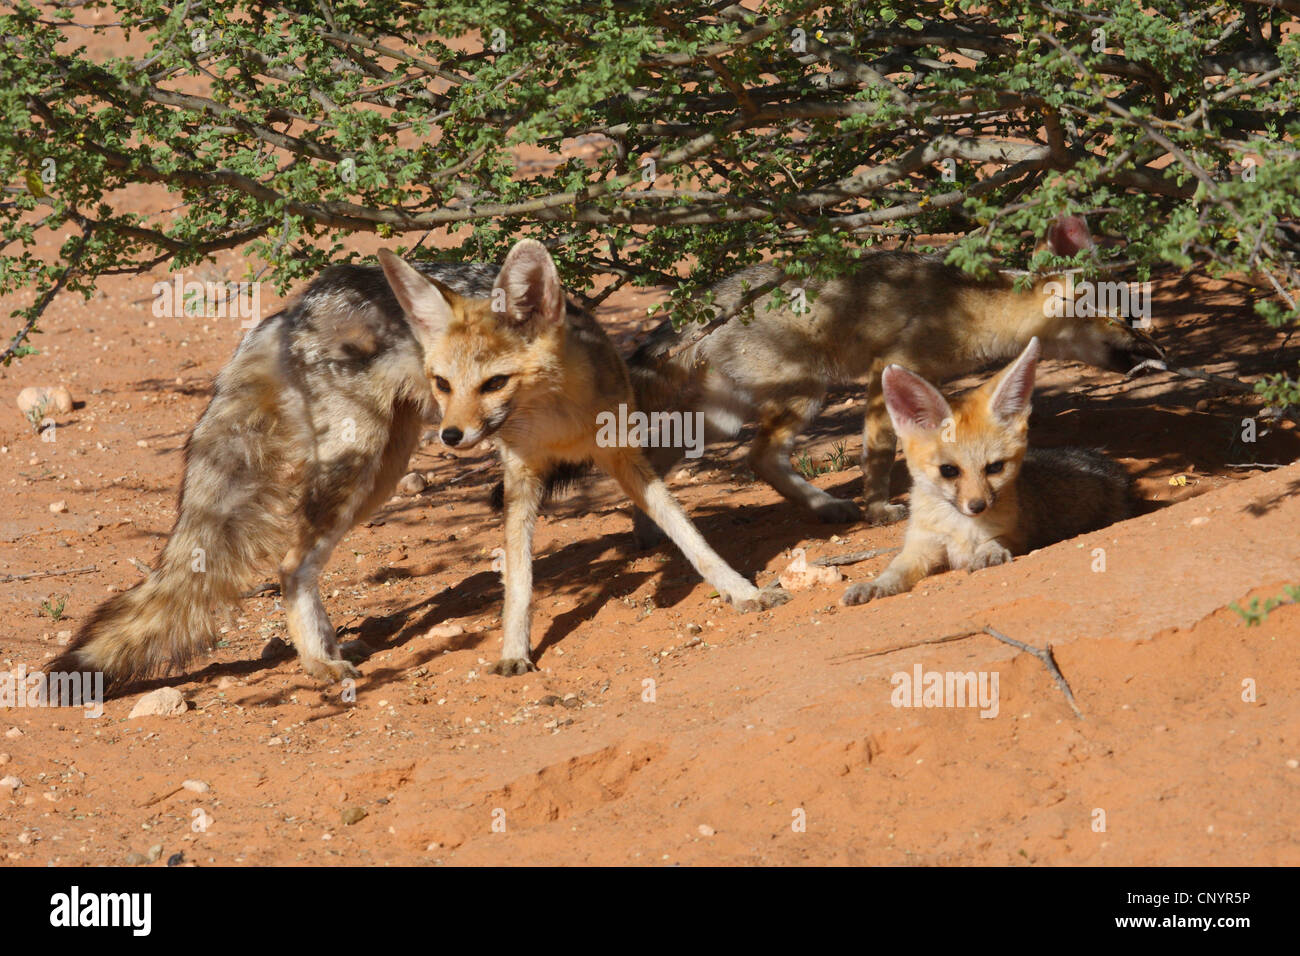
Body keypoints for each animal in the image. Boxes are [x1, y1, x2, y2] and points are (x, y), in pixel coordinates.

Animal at [48, 239, 780, 686]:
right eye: (443, 382)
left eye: (494, 383)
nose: (455, 435)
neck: (555, 418)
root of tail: (295, 306)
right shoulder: (519, 476)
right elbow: (519, 580)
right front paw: (513, 650)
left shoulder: (623, 455)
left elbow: (687, 531)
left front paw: (740, 590)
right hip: (360, 466)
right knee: (290, 562)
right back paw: (321, 665)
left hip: (382, 473)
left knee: (297, 565)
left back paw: (327, 652)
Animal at [626, 217, 1159, 546]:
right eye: (1130, 317)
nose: (1159, 354)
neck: (978, 309)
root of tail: (711, 299)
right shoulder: (890, 370)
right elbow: (879, 453)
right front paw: (879, 509)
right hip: (805, 392)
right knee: (760, 457)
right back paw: (828, 507)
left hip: (721, 416)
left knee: (659, 460)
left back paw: (648, 532)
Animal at [837, 338, 1133, 606]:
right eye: (948, 470)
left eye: (995, 468)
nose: (978, 506)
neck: (961, 527)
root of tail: (1097, 455)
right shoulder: (922, 546)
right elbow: (895, 568)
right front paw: (875, 585)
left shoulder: (1015, 534)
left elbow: (995, 541)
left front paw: (988, 552)